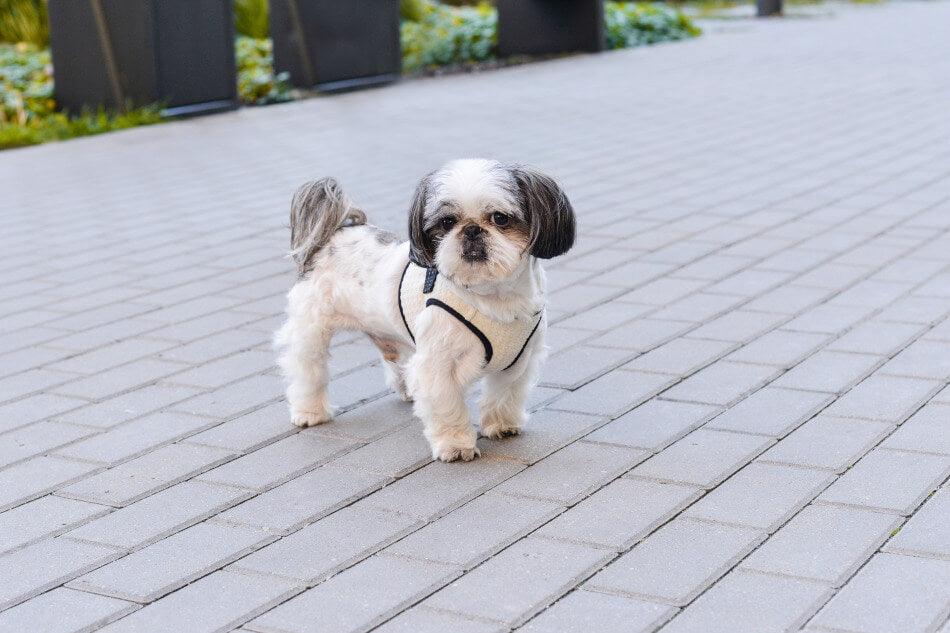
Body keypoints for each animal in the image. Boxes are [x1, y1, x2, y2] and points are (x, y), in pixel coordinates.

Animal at [272, 158, 576, 460]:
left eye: (500, 218)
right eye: (447, 222)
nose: (471, 230)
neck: (491, 298)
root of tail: (334, 234)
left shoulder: (519, 360)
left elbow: (505, 394)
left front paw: (502, 424)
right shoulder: (439, 365)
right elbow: (447, 404)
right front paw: (456, 444)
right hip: (311, 328)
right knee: (308, 368)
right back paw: (310, 411)